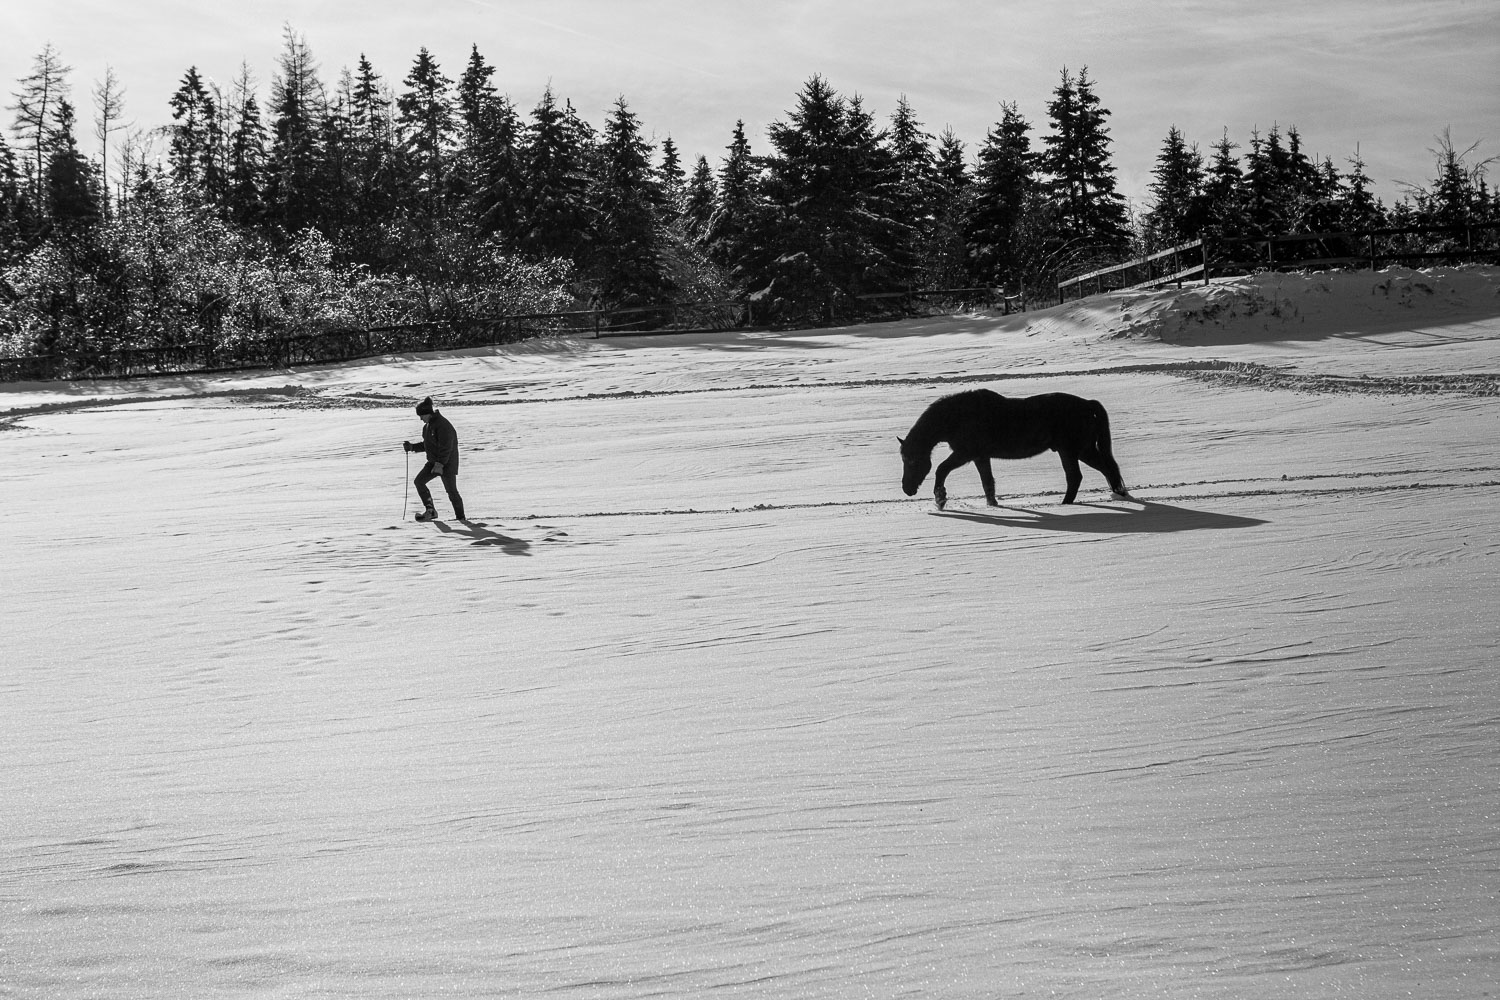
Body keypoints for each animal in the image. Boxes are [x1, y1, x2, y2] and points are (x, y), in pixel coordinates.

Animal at [894, 389, 1128, 512]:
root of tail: (1088, 404)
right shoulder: (980, 457)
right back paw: (1119, 495)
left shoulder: (965, 453)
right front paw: (993, 504)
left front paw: (940, 499)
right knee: (1105, 470)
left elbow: (941, 469)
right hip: (1080, 450)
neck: (957, 417)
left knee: (1078, 476)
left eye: (911, 460)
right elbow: (987, 482)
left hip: (1073, 450)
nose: (907, 488)